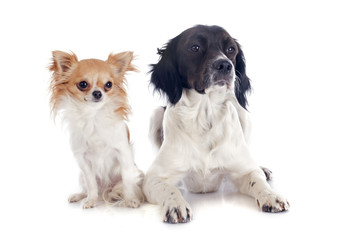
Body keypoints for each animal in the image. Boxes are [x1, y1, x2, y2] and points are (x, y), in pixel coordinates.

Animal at [49, 50, 144, 208]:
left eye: (108, 85)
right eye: (83, 84)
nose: (98, 93)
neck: (92, 116)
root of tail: (107, 188)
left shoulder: (123, 152)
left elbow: (126, 180)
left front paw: (130, 199)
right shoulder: (82, 158)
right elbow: (91, 182)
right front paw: (91, 200)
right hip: (81, 177)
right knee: (87, 187)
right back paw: (80, 196)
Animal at [144, 25, 290, 224]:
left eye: (231, 49)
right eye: (195, 47)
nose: (225, 65)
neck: (205, 118)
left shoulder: (245, 171)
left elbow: (258, 180)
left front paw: (271, 196)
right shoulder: (154, 178)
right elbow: (170, 189)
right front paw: (176, 205)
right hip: (155, 115)